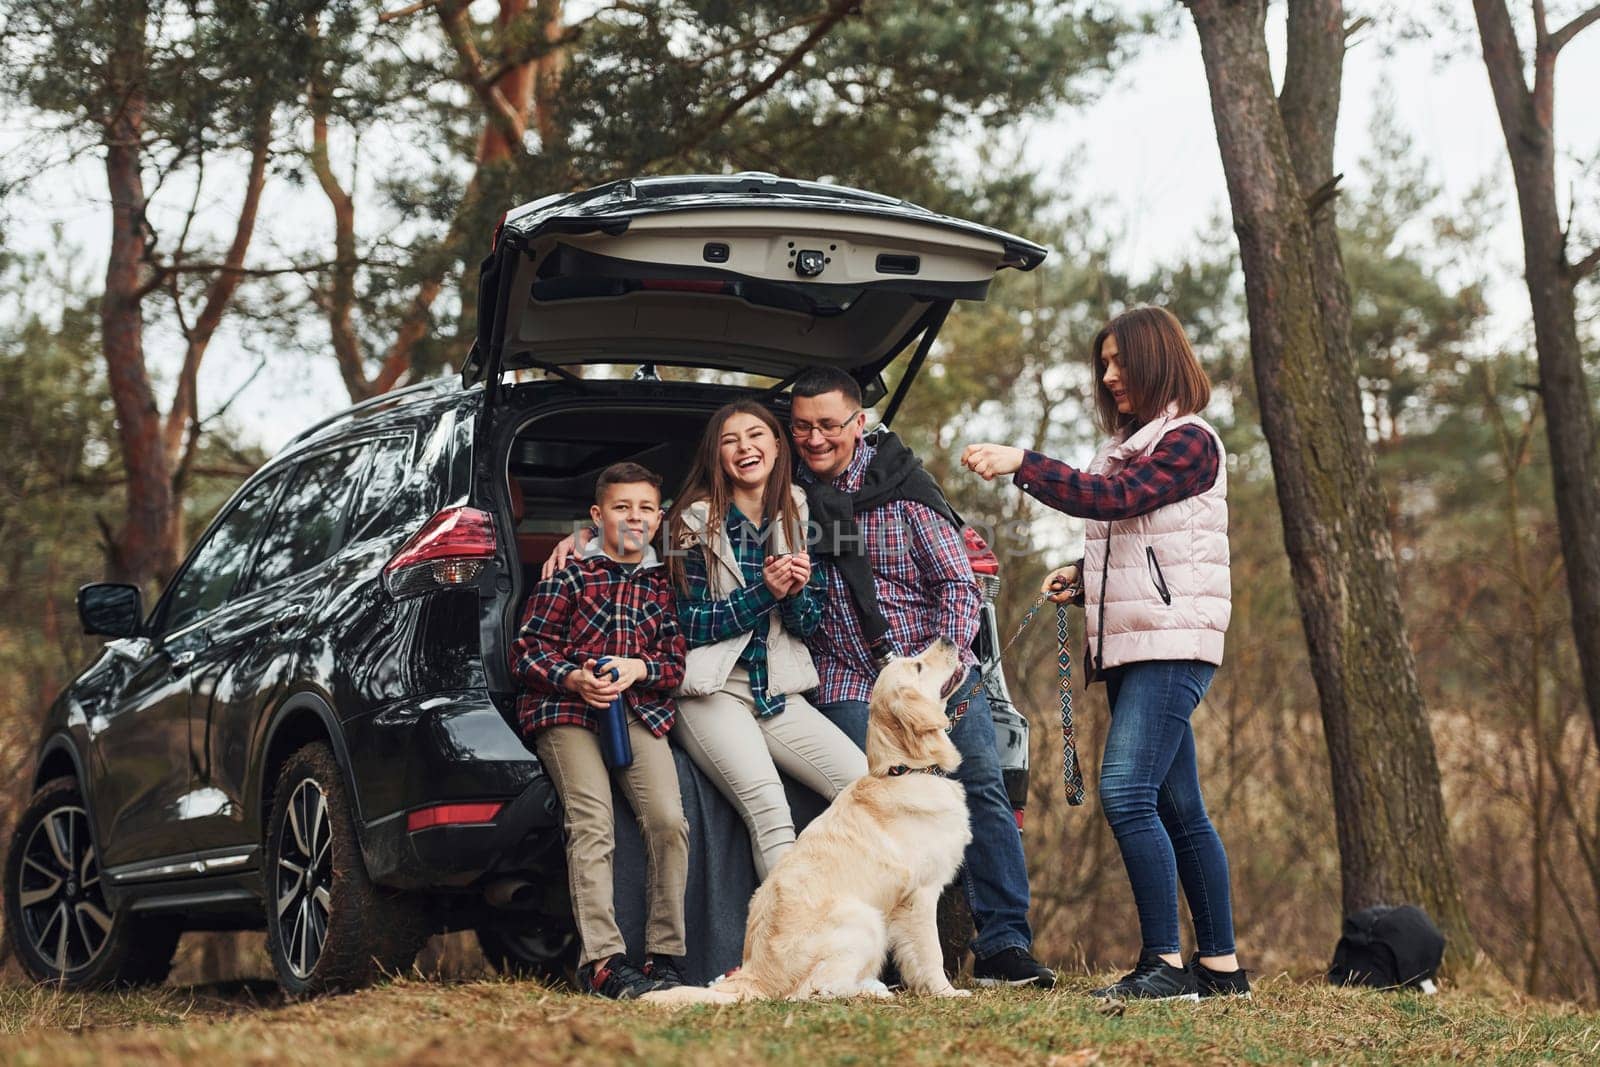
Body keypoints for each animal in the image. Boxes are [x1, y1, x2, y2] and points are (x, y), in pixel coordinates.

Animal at [640, 639, 966, 1004]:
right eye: (918, 667)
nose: (948, 640)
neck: (904, 770)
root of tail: (754, 974)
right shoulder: (920, 896)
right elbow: (931, 953)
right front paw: (948, 992)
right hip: (863, 917)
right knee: (813, 990)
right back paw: (872, 993)